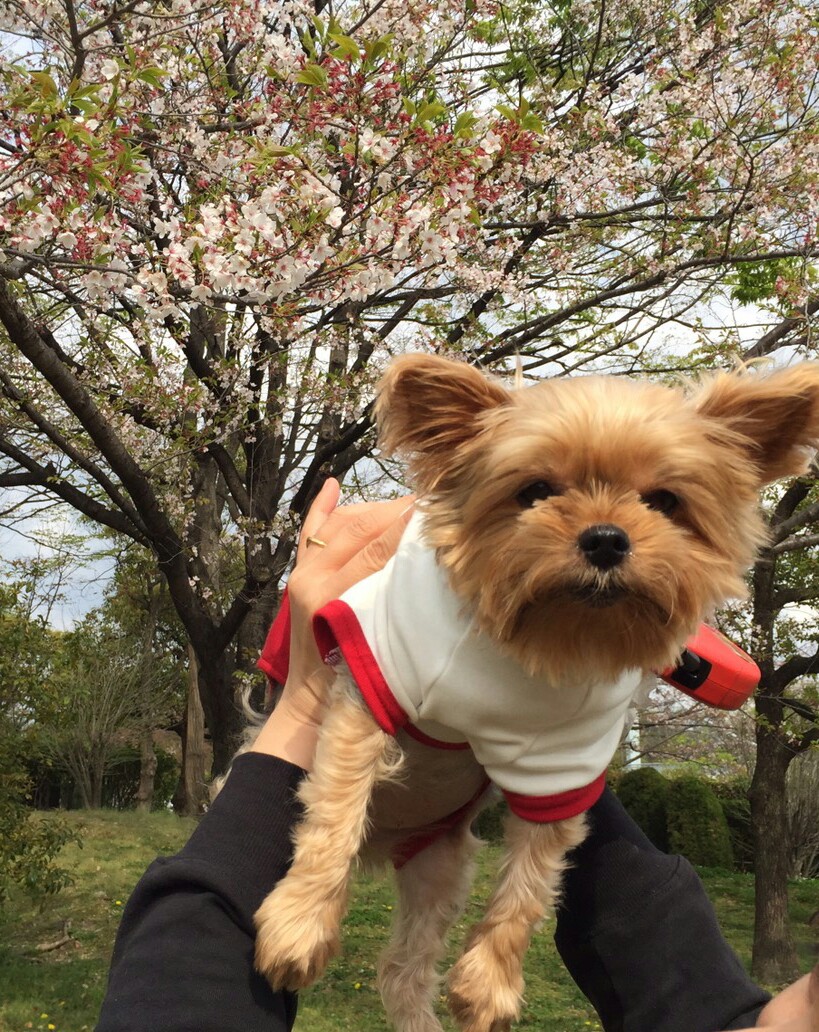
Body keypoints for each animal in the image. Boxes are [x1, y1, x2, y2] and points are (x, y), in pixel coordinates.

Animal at [251, 355, 816, 1032]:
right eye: (536, 491)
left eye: (664, 501)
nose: (606, 538)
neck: (541, 644)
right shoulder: (373, 678)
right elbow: (335, 810)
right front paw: (299, 925)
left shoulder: (562, 766)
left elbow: (531, 879)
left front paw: (488, 983)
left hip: (440, 867)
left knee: (404, 969)